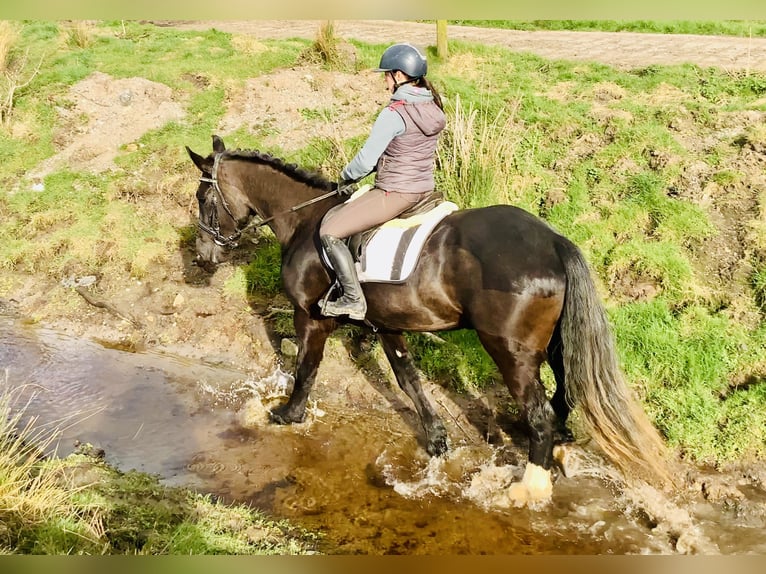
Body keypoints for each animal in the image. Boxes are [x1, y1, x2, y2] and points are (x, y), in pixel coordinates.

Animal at [184, 135, 672, 504]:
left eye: (203, 198)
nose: (204, 256)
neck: (306, 222)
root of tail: (553, 241)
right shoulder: (387, 325)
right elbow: (408, 380)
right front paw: (437, 441)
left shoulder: (310, 317)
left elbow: (306, 369)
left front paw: (287, 414)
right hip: (554, 345)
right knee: (564, 394)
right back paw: (556, 451)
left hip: (510, 352)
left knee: (538, 415)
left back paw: (527, 488)